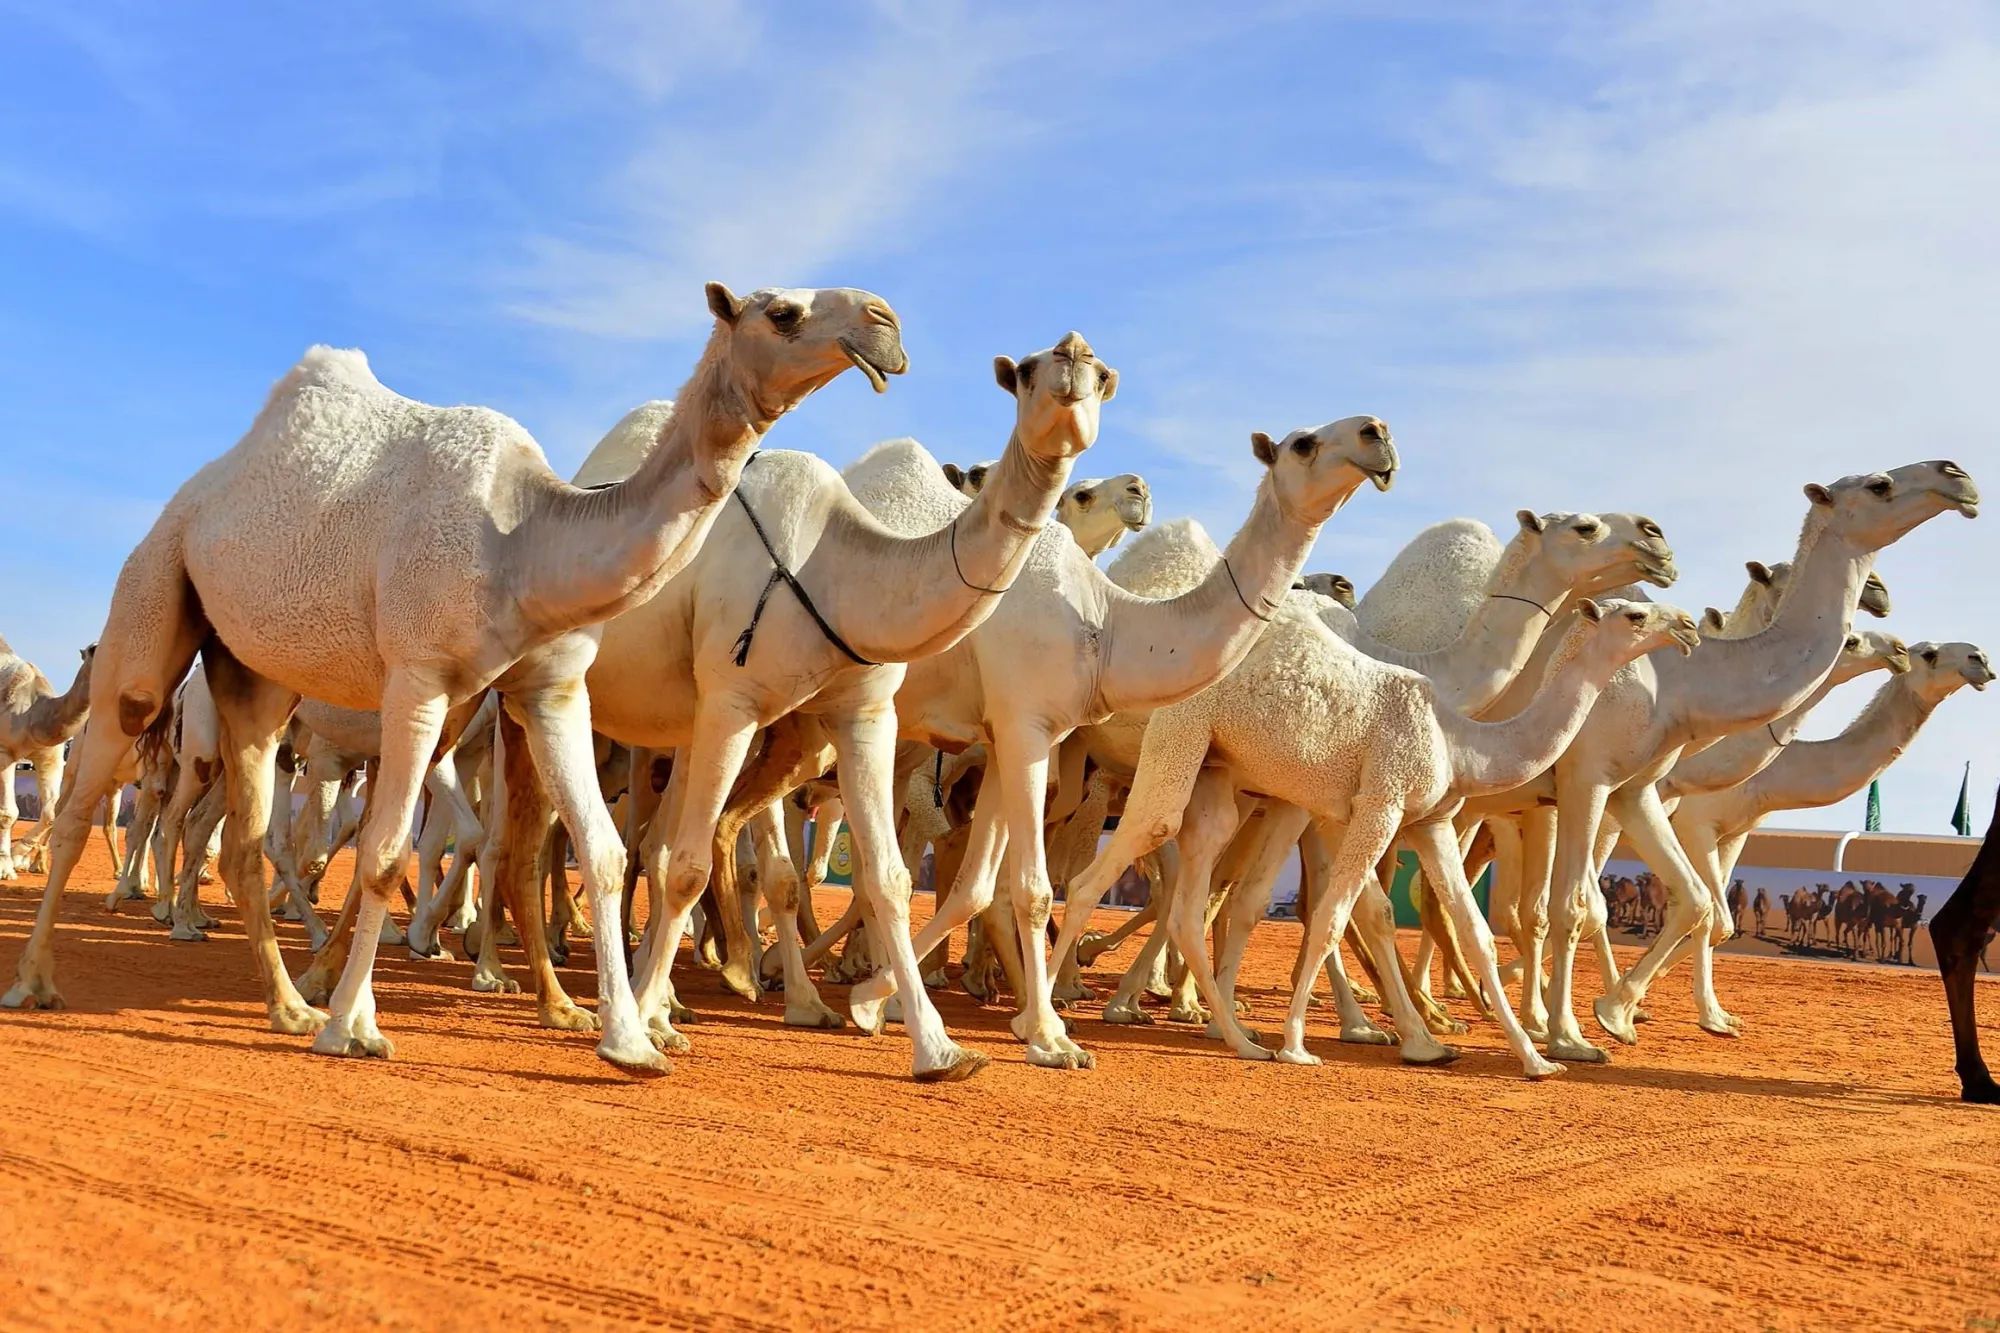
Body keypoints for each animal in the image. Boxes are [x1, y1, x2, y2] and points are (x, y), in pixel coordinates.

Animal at [0, 637, 94, 880]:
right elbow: (8, 812)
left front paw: (18, 857)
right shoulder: (5, 751)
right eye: (93, 650)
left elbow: (52, 811)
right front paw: (5, 867)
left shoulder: (51, 756)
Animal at [497, 331, 1114, 1082]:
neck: (837, 568)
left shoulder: (863, 712)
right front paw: (650, 1023)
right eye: (1026, 372)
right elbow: (691, 864)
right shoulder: (732, 701)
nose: (1072, 355)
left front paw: (937, 1048)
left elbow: (889, 876)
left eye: (1103, 375)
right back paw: (562, 1002)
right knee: (524, 843)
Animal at [843, 417, 1401, 1069]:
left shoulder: (1012, 730)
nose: (1376, 433)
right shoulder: (1024, 727)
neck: (1107, 624)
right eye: (1304, 443)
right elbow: (1033, 888)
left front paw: (872, 1001)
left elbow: (977, 888)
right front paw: (1049, 1037)